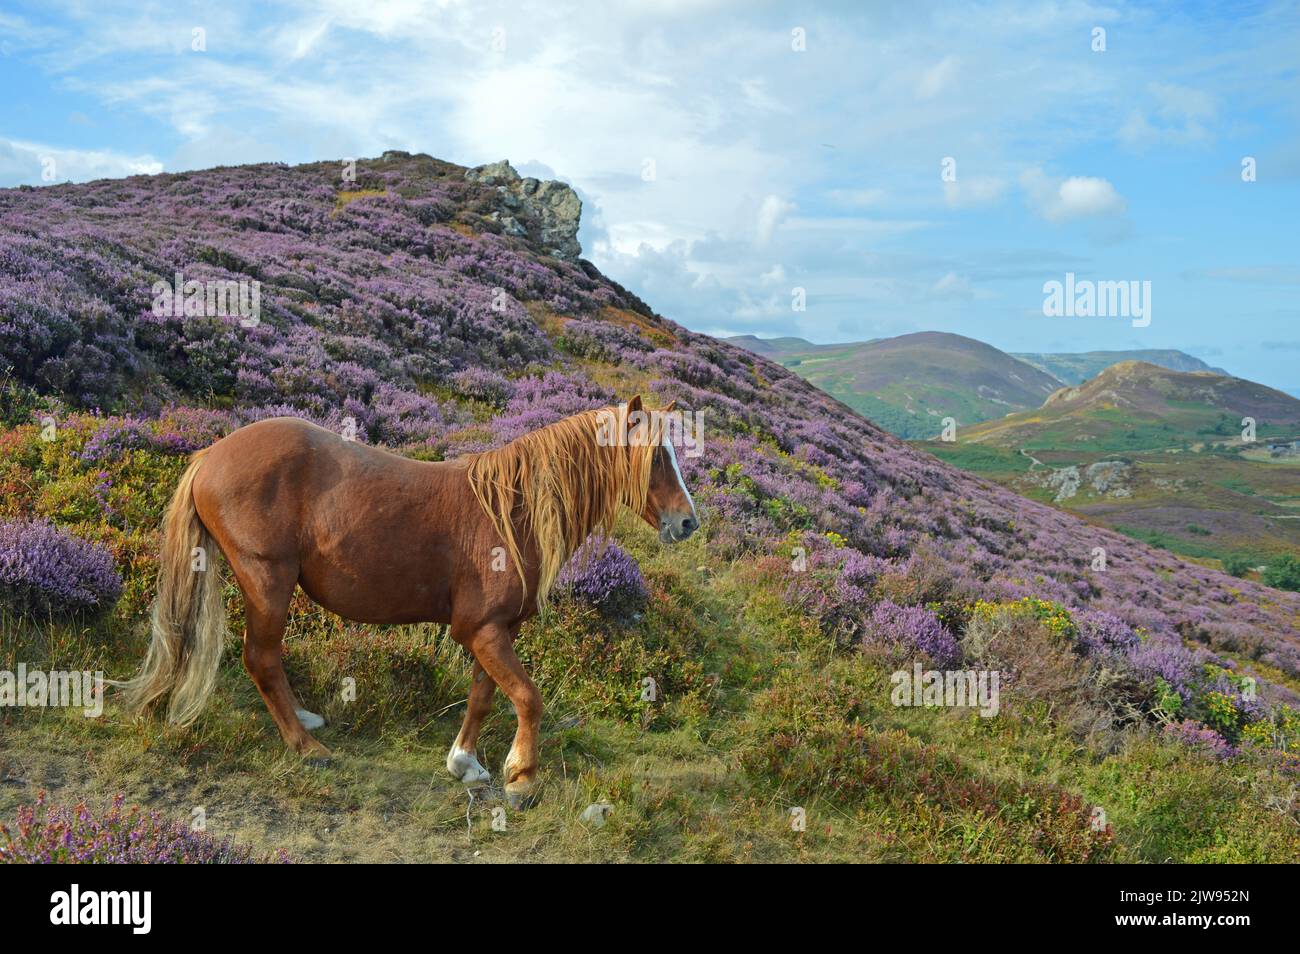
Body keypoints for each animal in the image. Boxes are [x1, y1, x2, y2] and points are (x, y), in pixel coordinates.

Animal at [122, 395, 702, 805]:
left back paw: (305, 721)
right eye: (656, 457)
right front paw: (522, 778)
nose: (688, 523)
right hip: (267, 580)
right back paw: (307, 748)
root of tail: (209, 456)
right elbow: (528, 698)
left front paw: (465, 762)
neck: (511, 511)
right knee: (260, 658)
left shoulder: (496, 629)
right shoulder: (479, 629)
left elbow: (484, 696)